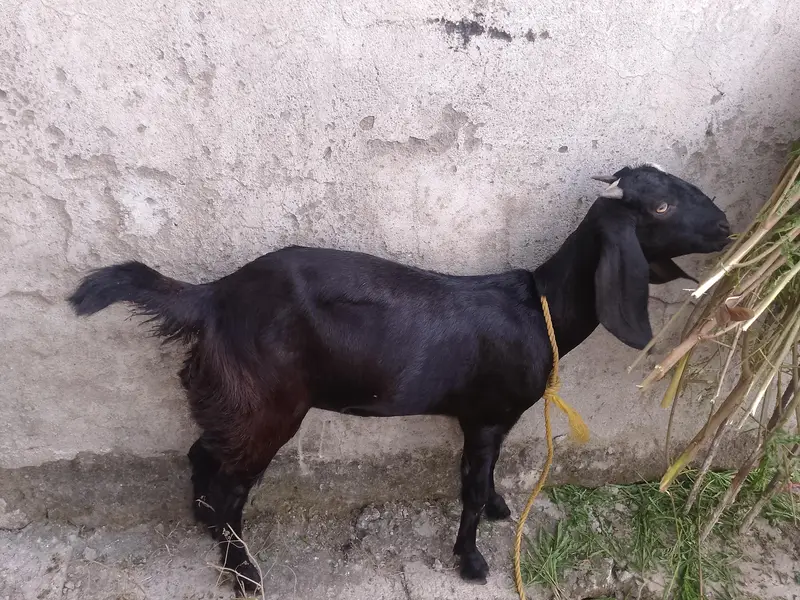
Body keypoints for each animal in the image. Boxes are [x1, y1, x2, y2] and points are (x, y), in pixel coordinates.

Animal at [68, 164, 730, 595]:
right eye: (661, 208)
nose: (725, 226)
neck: (539, 309)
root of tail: (213, 298)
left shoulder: (494, 420)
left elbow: (485, 479)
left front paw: (498, 508)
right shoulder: (485, 416)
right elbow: (468, 485)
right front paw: (471, 561)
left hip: (233, 399)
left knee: (201, 455)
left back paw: (209, 530)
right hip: (268, 403)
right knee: (231, 483)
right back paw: (245, 575)